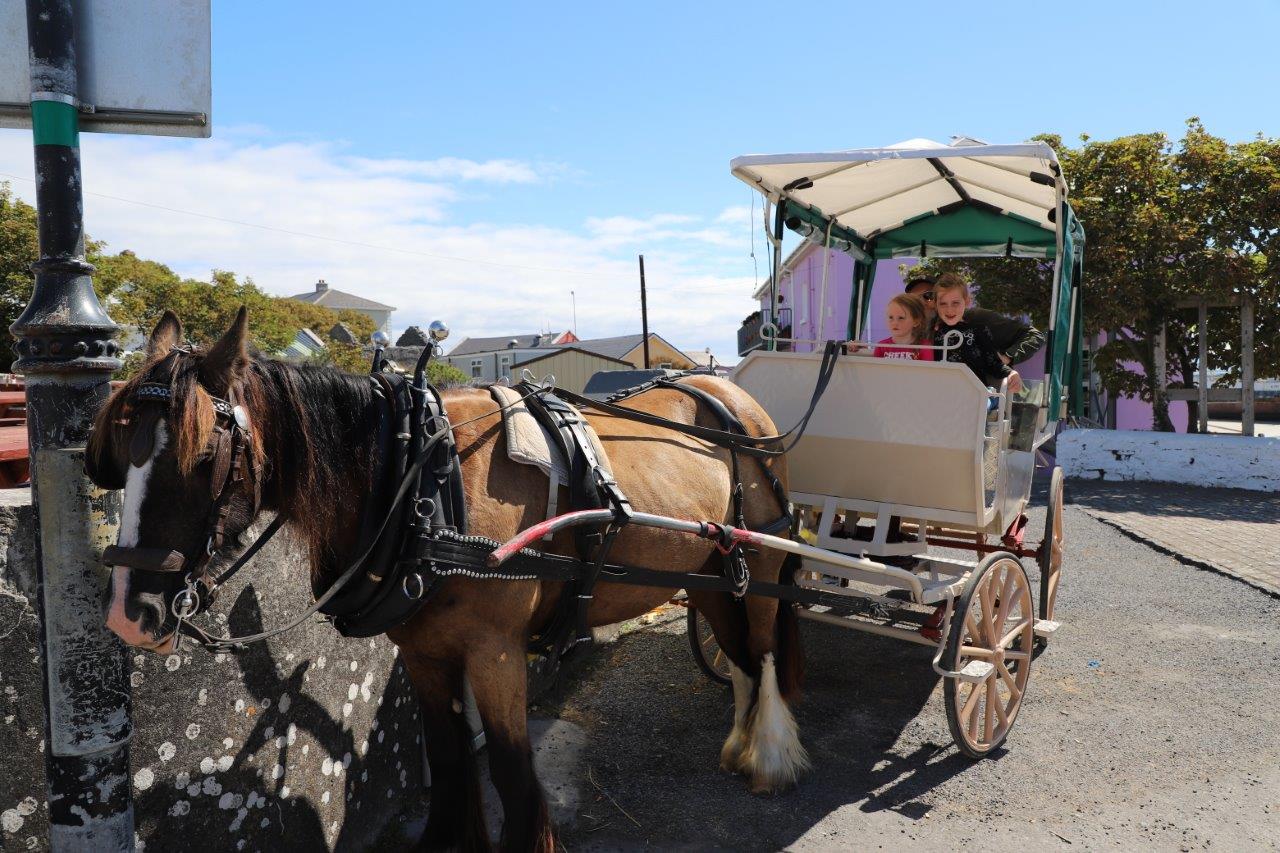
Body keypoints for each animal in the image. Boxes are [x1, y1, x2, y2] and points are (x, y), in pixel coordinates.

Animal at [87, 308, 807, 852]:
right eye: (121, 454)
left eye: (203, 454)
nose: (128, 613)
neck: (420, 485)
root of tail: (733, 396)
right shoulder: (423, 651)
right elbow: (451, 757)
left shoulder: (496, 652)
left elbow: (512, 773)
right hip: (710, 571)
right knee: (739, 655)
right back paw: (739, 744)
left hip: (764, 562)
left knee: (764, 650)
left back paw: (769, 755)